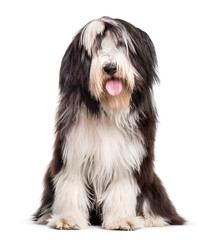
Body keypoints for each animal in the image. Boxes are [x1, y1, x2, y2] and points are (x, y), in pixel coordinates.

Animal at [33, 15, 185, 230]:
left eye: (121, 44)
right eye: (95, 48)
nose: (110, 67)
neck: (108, 110)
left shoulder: (129, 157)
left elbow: (121, 187)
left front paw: (121, 220)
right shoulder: (73, 151)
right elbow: (71, 184)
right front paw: (68, 218)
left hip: (150, 180)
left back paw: (151, 218)